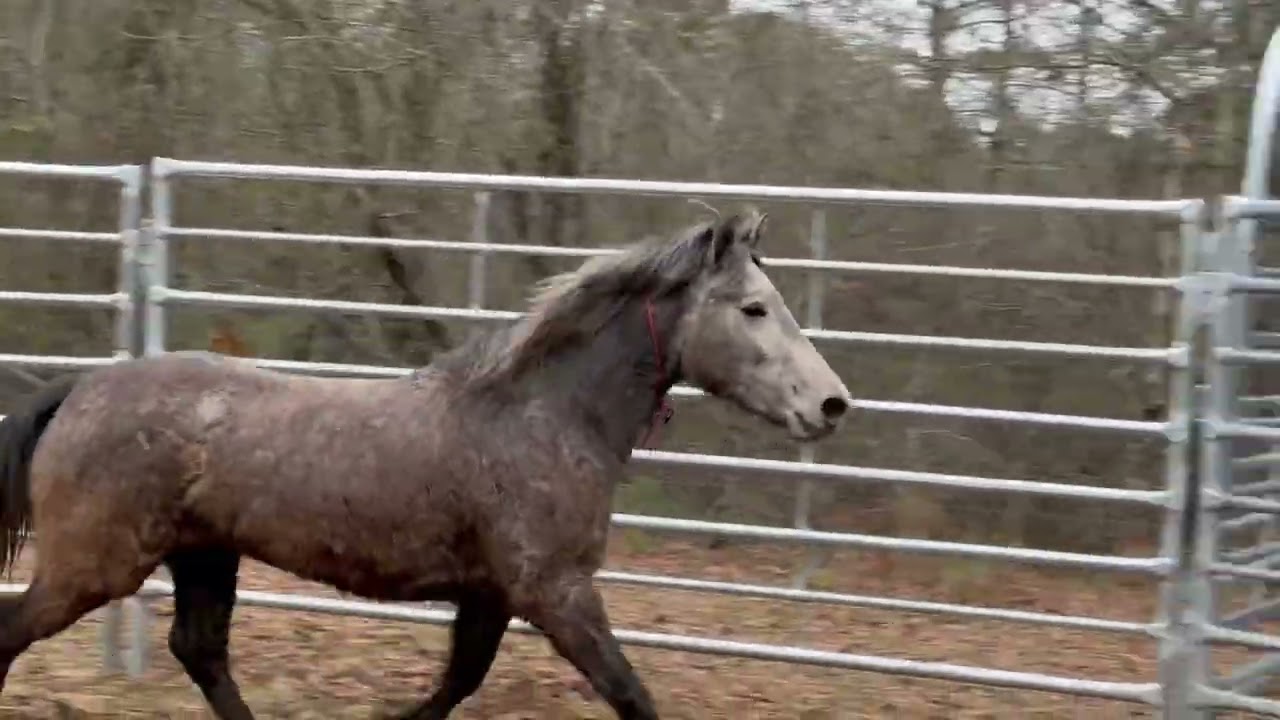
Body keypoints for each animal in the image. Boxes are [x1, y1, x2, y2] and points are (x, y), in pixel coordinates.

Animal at [0, 210, 850, 719]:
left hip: (204, 555)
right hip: (96, 567)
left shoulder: (492, 593)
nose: (831, 405)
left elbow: (457, 683)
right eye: (753, 308)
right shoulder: (557, 592)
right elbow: (629, 694)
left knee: (200, 651)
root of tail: (81, 386)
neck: (543, 416)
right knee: (17, 632)